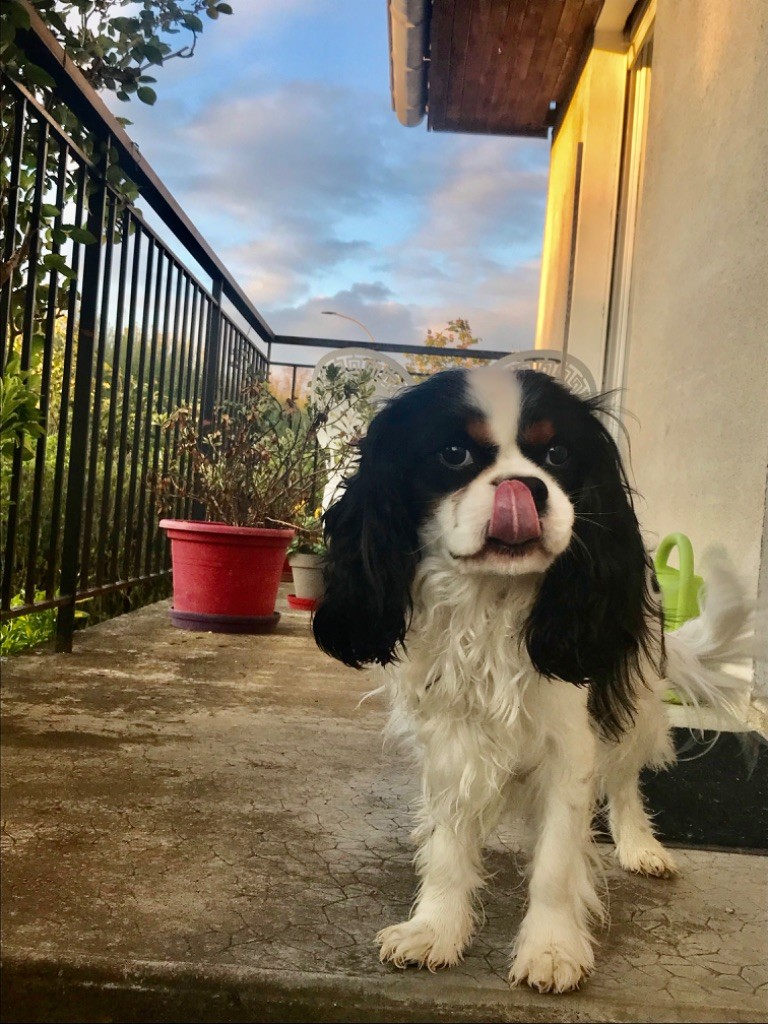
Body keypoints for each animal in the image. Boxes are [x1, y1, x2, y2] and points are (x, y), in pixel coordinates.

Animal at [311, 364, 753, 987]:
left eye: (558, 454)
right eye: (453, 454)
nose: (528, 488)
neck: (491, 602)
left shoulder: (571, 744)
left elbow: (556, 861)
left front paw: (552, 947)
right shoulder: (452, 739)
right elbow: (449, 844)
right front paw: (436, 927)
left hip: (636, 699)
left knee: (625, 779)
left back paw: (639, 845)